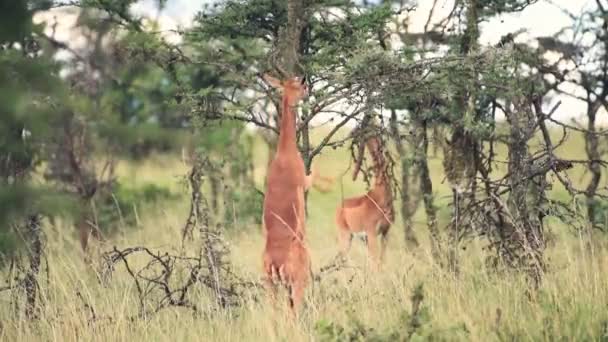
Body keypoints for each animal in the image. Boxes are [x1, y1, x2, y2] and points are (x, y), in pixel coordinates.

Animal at [332, 128, 394, 270]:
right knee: (341, 260)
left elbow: (382, 262)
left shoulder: (385, 233)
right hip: (346, 236)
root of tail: (339, 208)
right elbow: (375, 264)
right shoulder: (371, 234)